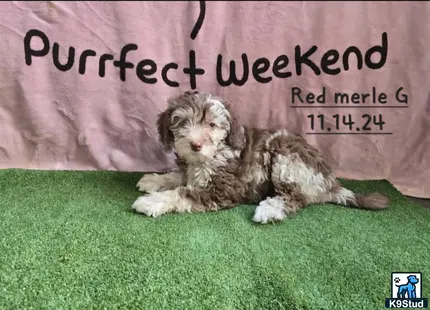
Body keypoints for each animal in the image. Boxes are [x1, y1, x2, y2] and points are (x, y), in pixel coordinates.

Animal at [132, 89, 390, 223]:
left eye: (212, 125)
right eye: (183, 123)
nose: (195, 144)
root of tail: (329, 181)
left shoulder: (223, 190)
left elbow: (183, 192)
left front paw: (151, 201)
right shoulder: (192, 170)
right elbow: (178, 176)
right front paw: (152, 180)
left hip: (285, 158)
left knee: (295, 198)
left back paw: (268, 210)